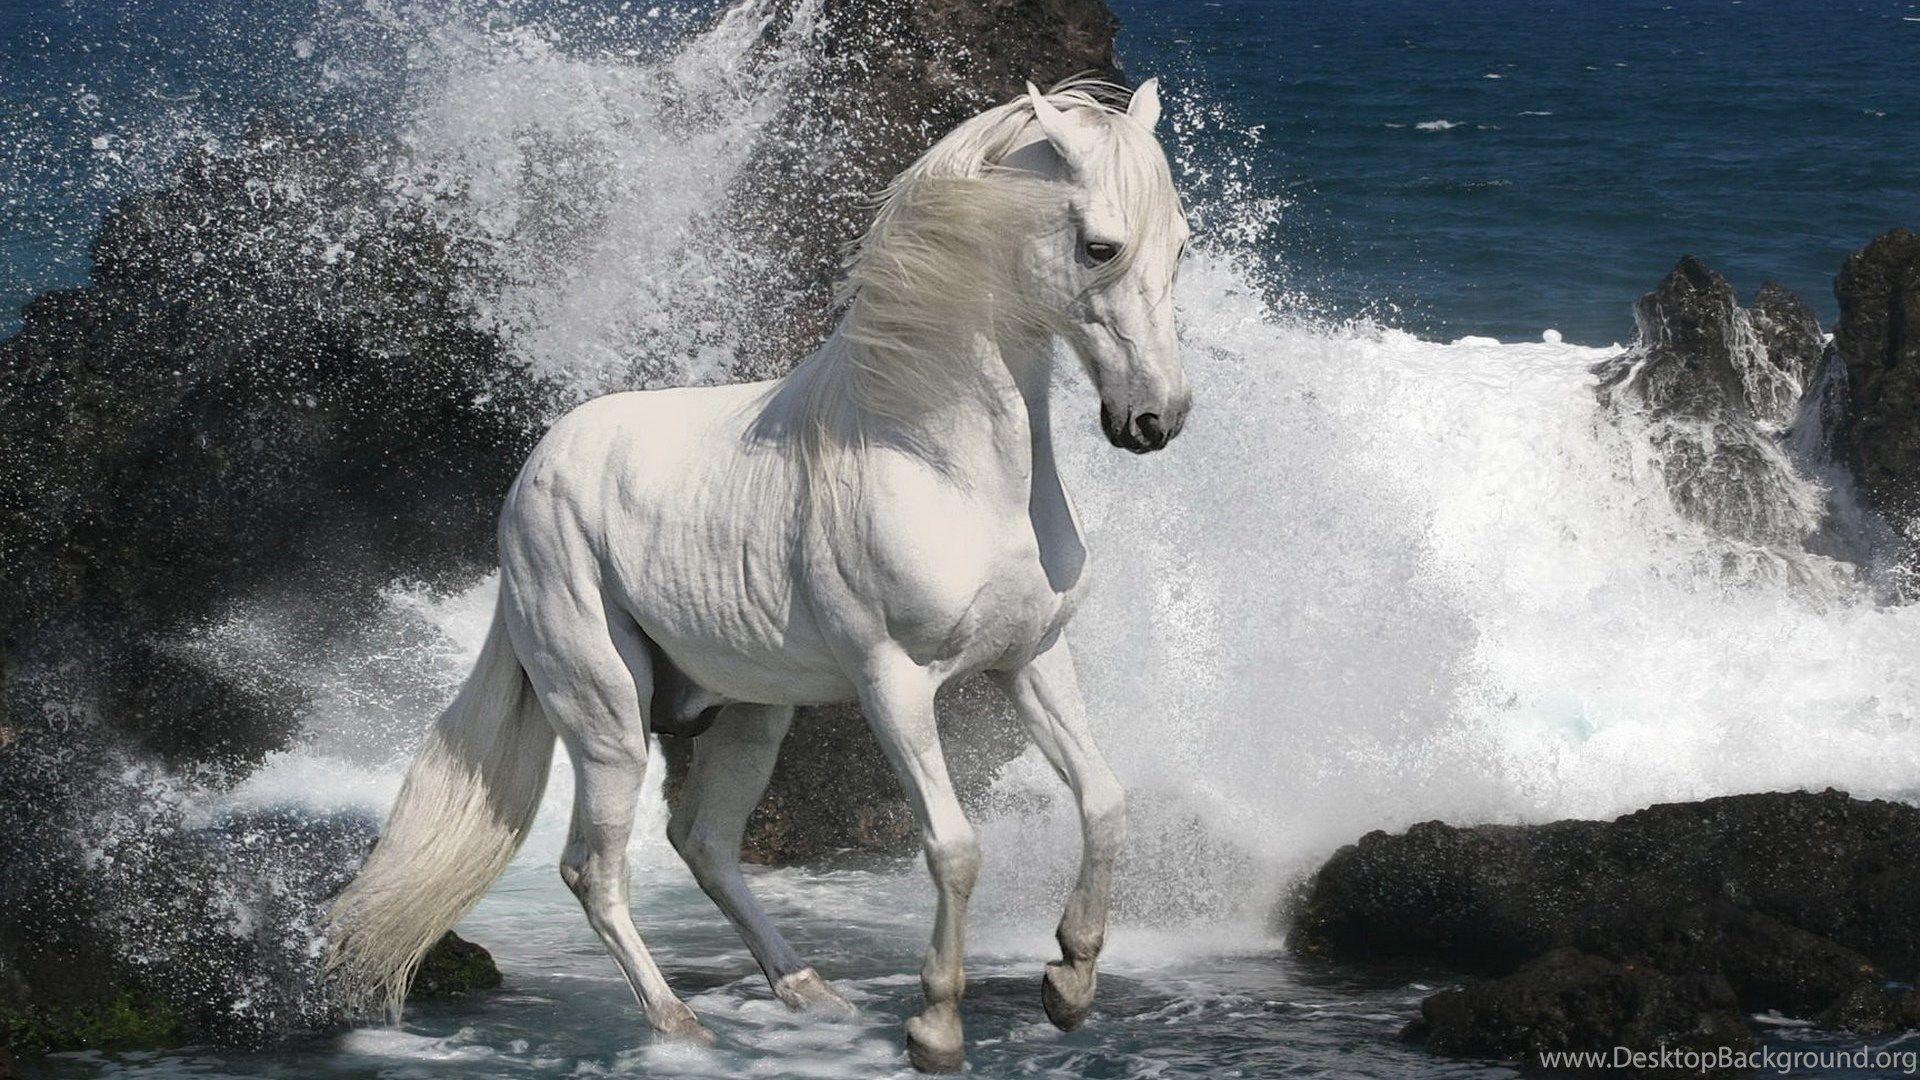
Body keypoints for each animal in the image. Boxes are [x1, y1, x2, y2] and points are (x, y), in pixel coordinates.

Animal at [322, 76, 1190, 1073]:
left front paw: (1070, 983)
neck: (942, 461)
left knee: (701, 841)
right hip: (607, 715)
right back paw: (678, 1024)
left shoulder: (1032, 659)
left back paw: (807, 990)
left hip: (750, 711)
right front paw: (935, 1027)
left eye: (1181, 245)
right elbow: (954, 847)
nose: (1155, 420)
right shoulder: (893, 683)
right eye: (1101, 246)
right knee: (595, 867)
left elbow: (1105, 801)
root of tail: (533, 473)